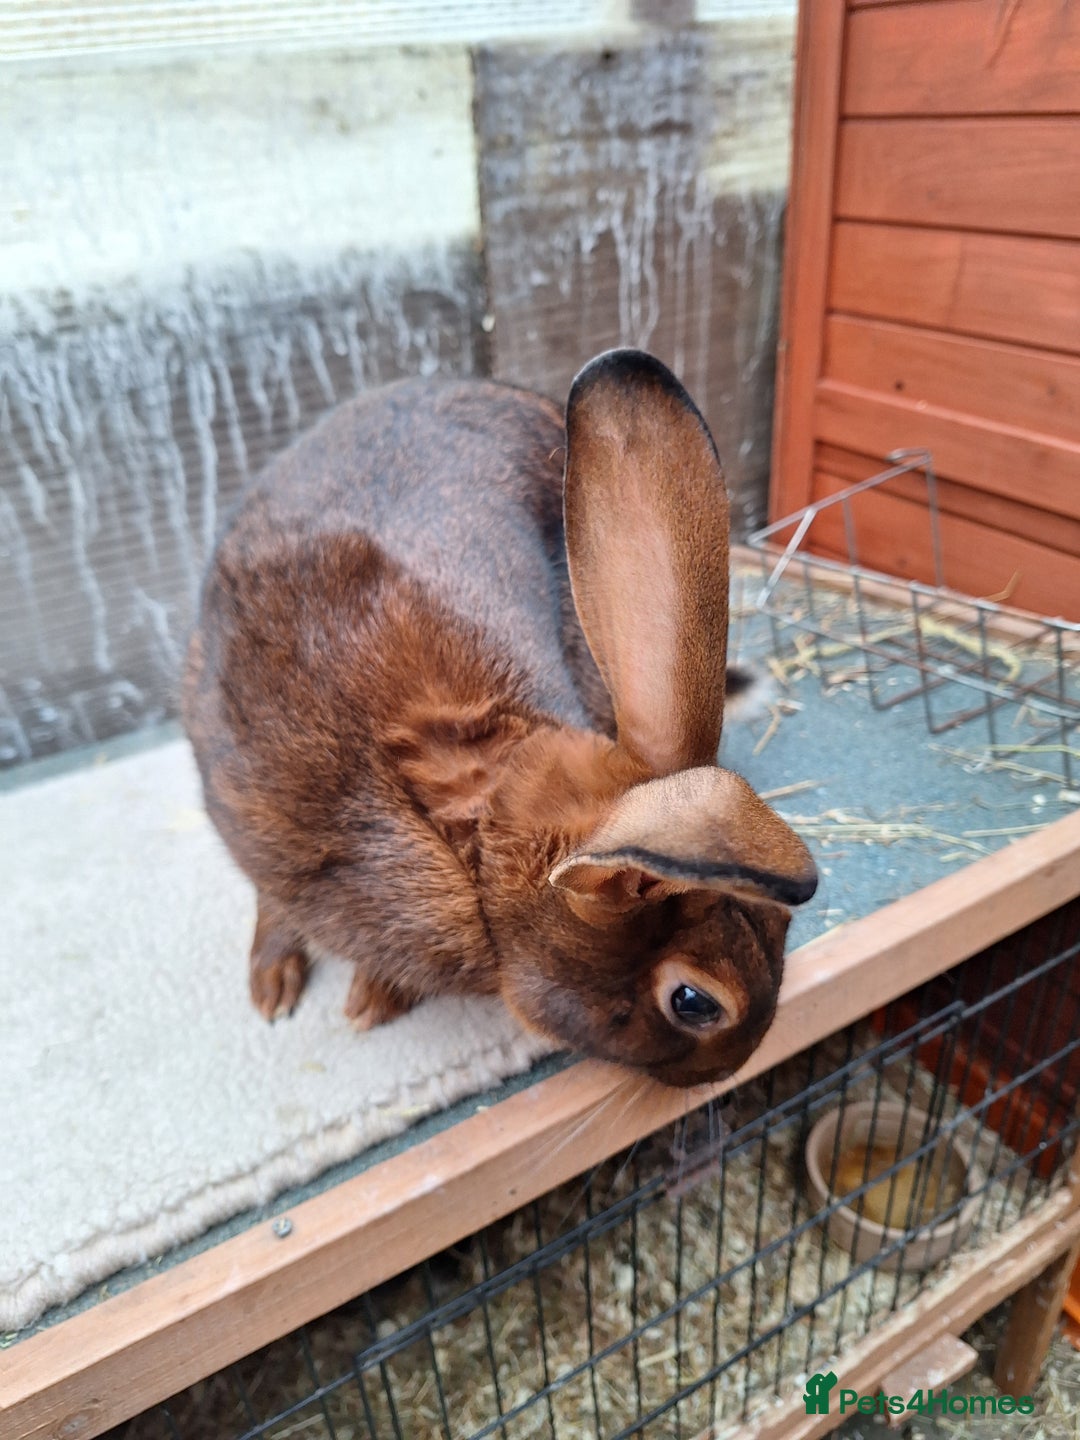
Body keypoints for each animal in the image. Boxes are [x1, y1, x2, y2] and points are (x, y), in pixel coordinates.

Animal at [183, 349, 816, 1088]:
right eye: (695, 1002)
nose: (738, 1065)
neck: (479, 848)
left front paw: (374, 996)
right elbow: (274, 902)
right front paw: (296, 992)